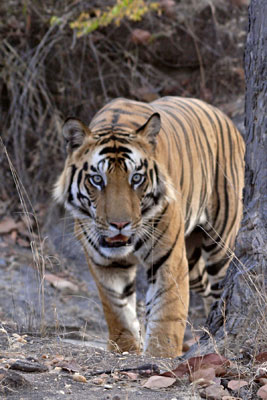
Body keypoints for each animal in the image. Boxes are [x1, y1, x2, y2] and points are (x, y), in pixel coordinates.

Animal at [53, 96, 246, 356]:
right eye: (97, 180)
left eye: (136, 178)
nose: (120, 224)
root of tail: (226, 118)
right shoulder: (104, 263)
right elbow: (117, 310)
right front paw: (125, 348)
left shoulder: (168, 258)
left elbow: (167, 312)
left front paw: (159, 355)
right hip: (192, 259)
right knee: (205, 288)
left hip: (221, 245)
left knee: (221, 286)